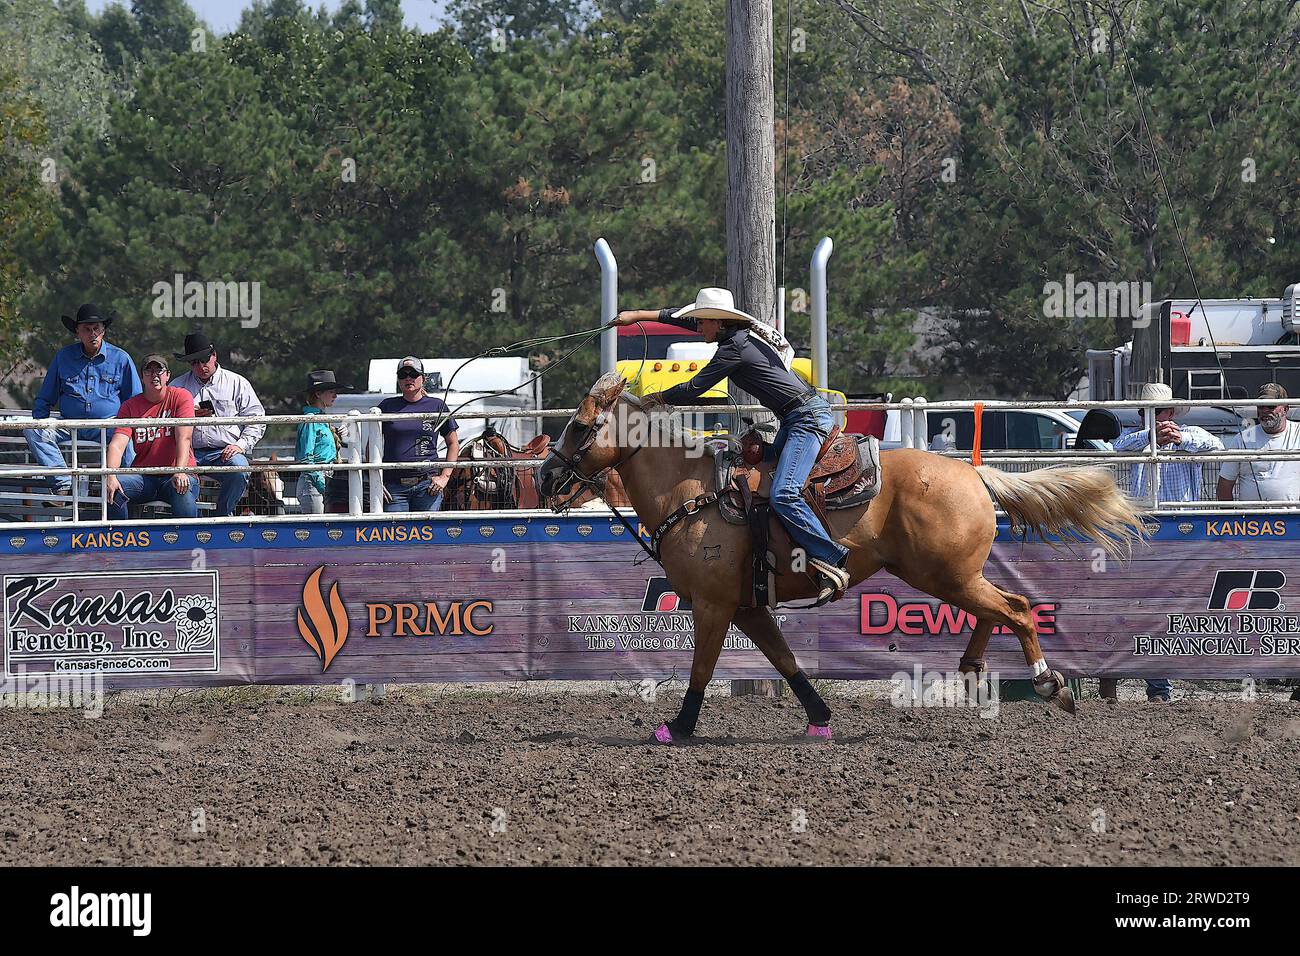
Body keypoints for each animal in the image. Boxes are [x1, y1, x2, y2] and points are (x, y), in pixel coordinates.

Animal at [533, 369, 1144, 743]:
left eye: (580, 426)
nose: (545, 477)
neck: (694, 491)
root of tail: (974, 473)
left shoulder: (712, 605)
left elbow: (703, 667)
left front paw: (678, 728)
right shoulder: (749, 607)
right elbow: (786, 661)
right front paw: (820, 719)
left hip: (943, 575)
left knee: (1015, 608)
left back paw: (1048, 684)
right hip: (948, 576)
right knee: (1000, 608)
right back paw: (974, 670)